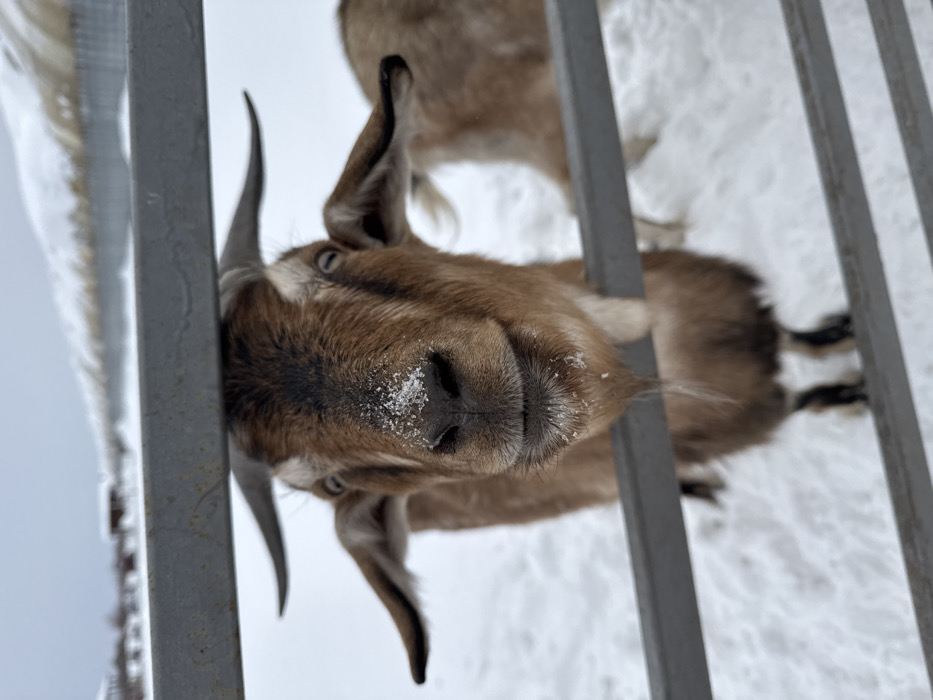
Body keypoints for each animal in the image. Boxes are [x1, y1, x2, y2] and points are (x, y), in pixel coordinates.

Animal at [219, 57, 864, 684]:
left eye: (328, 260)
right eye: (331, 483)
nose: (438, 404)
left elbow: (795, 339)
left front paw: (841, 336)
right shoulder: (749, 412)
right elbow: (799, 398)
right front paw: (848, 392)